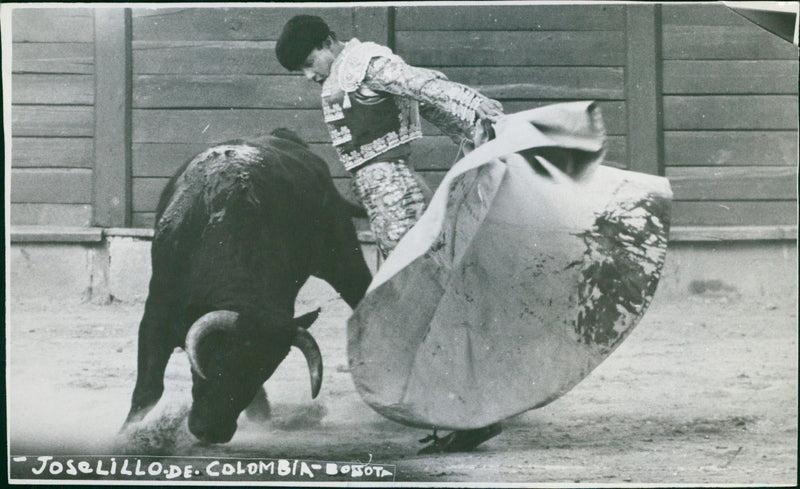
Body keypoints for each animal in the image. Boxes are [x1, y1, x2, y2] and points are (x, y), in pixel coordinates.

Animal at [123, 130, 374, 442]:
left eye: (263, 371)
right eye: (215, 361)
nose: (212, 432)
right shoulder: (157, 314)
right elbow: (148, 389)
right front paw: (127, 433)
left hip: (340, 253)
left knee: (360, 286)